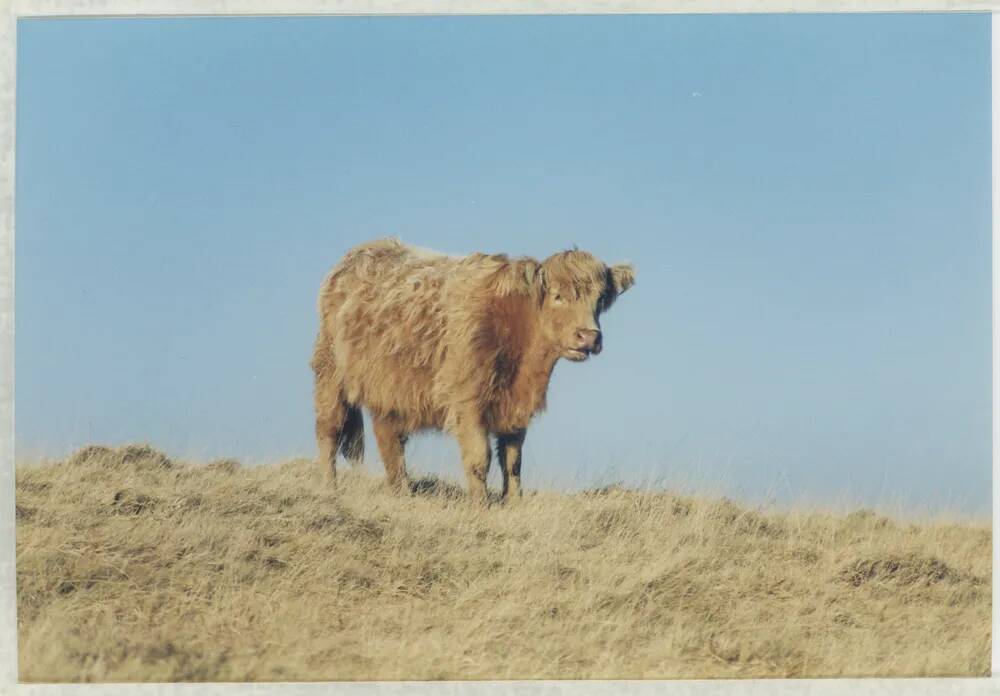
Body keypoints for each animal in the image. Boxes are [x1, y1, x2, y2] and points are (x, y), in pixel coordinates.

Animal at [312, 239, 636, 500]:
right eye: (557, 295)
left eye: (599, 299)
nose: (589, 336)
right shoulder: (467, 402)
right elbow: (480, 459)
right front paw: (481, 505)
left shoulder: (514, 410)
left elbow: (512, 461)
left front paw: (513, 502)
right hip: (330, 374)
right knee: (329, 431)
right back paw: (329, 488)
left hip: (391, 389)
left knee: (389, 440)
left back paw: (402, 493)